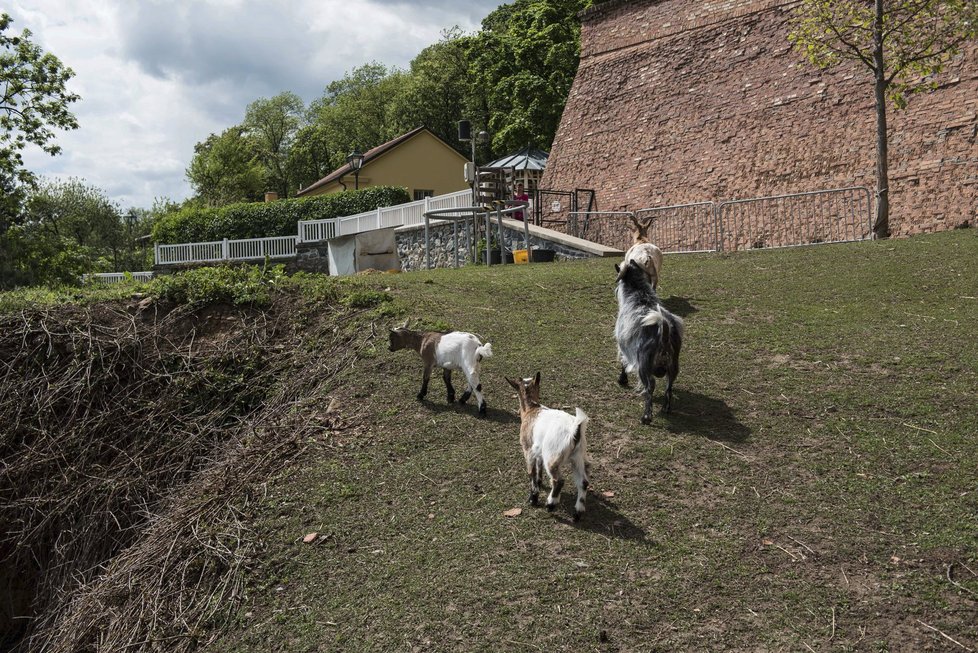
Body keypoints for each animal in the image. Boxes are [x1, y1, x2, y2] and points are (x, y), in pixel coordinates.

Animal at [504, 372, 588, 520]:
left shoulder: (528, 450)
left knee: (558, 480)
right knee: (583, 482)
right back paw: (578, 512)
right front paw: (539, 483)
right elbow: (539, 468)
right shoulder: (538, 452)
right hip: (577, 457)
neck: (531, 408)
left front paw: (533, 498)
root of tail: (574, 429)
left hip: (552, 455)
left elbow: (531, 472)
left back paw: (551, 504)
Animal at [612, 258, 684, 420]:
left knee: (651, 386)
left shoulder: (624, 345)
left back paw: (646, 417)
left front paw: (622, 380)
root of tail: (664, 333)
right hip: (673, 365)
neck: (639, 295)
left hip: (644, 364)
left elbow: (623, 362)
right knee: (669, 387)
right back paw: (666, 408)